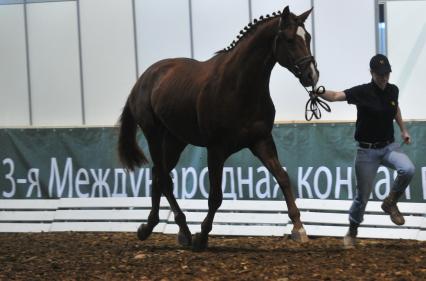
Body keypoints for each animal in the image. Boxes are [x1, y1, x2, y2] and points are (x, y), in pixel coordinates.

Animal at [118, 5, 318, 250]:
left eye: (307, 37)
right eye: (289, 39)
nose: (312, 75)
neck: (239, 86)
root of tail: (144, 78)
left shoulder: (261, 141)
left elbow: (282, 178)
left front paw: (299, 228)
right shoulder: (216, 149)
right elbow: (215, 196)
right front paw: (202, 236)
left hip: (175, 141)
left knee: (158, 175)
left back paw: (153, 228)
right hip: (154, 134)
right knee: (163, 178)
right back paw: (182, 231)